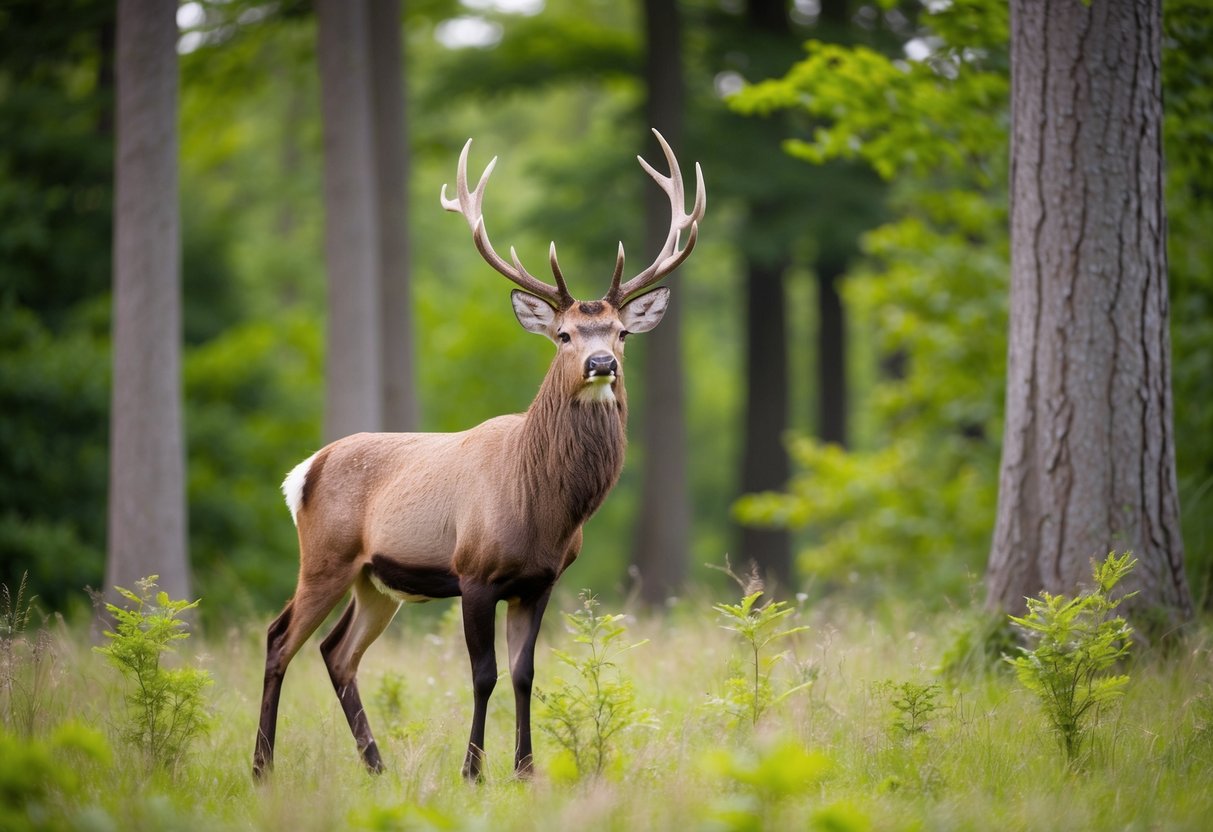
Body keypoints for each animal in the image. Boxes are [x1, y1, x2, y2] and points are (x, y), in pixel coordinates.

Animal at [252, 129, 705, 782]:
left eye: (620, 332)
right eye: (564, 334)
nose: (602, 364)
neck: (543, 505)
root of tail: (303, 474)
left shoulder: (539, 582)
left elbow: (524, 674)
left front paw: (525, 769)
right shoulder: (474, 572)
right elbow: (484, 675)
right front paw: (472, 771)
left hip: (373, 581)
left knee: (336, 652)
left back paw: (376, 766)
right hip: (325, 557)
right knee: (279, 637)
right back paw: (262, 766)